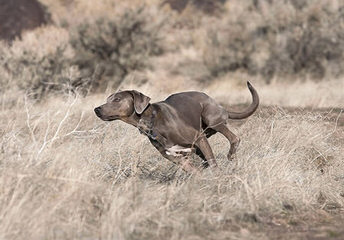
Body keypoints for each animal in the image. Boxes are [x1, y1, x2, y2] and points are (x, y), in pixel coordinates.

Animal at [94, 81, 258, 172]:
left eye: (117, 99)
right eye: (107, 99)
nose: (96, 109)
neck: (151, 121)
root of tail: (220, 106)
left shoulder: (199, 138)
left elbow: (213, 163)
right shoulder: (174, 157)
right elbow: (194, 171)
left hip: (211, 118)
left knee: (234, 138)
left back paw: (231, 155)